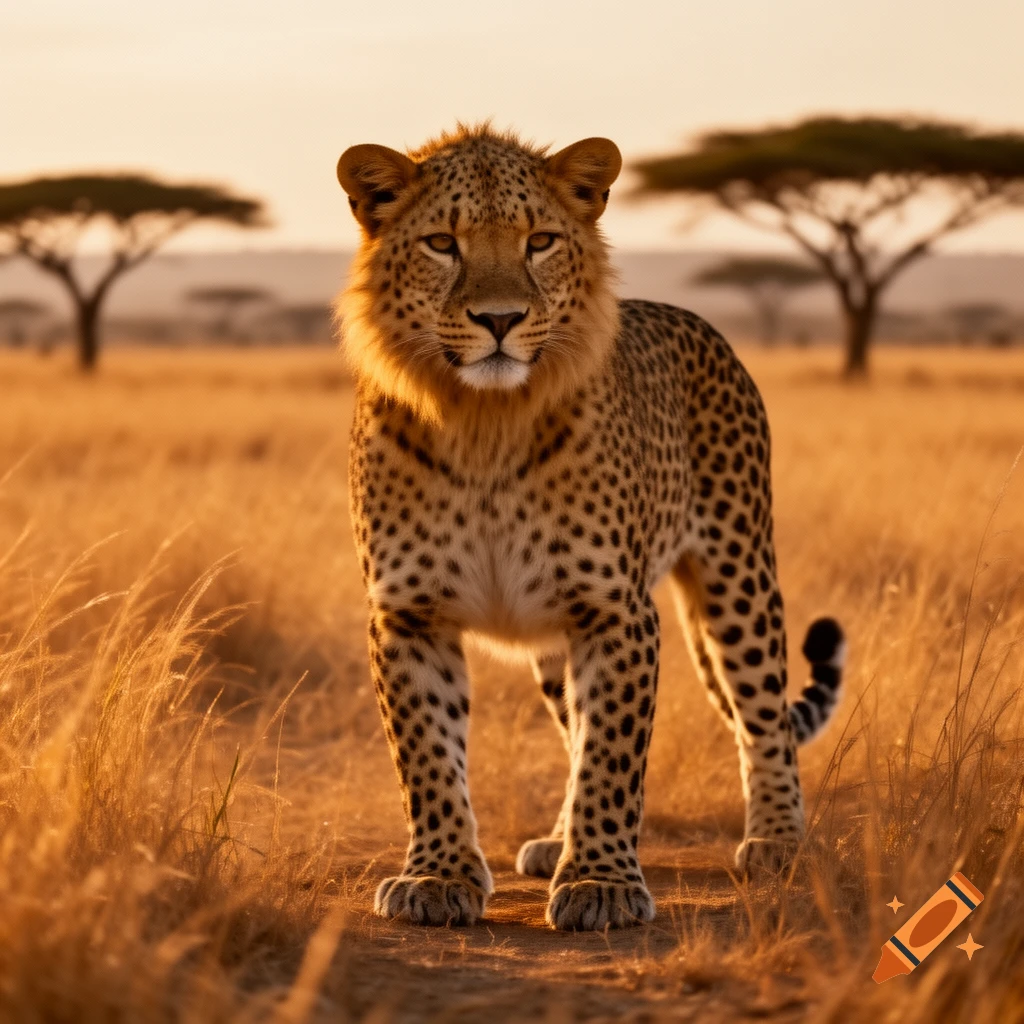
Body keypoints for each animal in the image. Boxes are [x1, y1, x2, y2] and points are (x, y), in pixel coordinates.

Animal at [334, 123, 845, 932]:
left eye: (539, 241)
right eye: (443, 244)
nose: (500, 320)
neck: (485, 422)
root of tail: (692, 318)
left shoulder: (613, 611)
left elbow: (612, 753)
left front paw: (601, 882)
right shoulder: (410, 614)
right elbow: (428, 756)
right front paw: (439, 875)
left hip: (739, 576)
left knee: (764, 714)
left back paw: (777, 840)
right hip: (555, 640)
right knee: (572, 722)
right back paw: (556, 839)